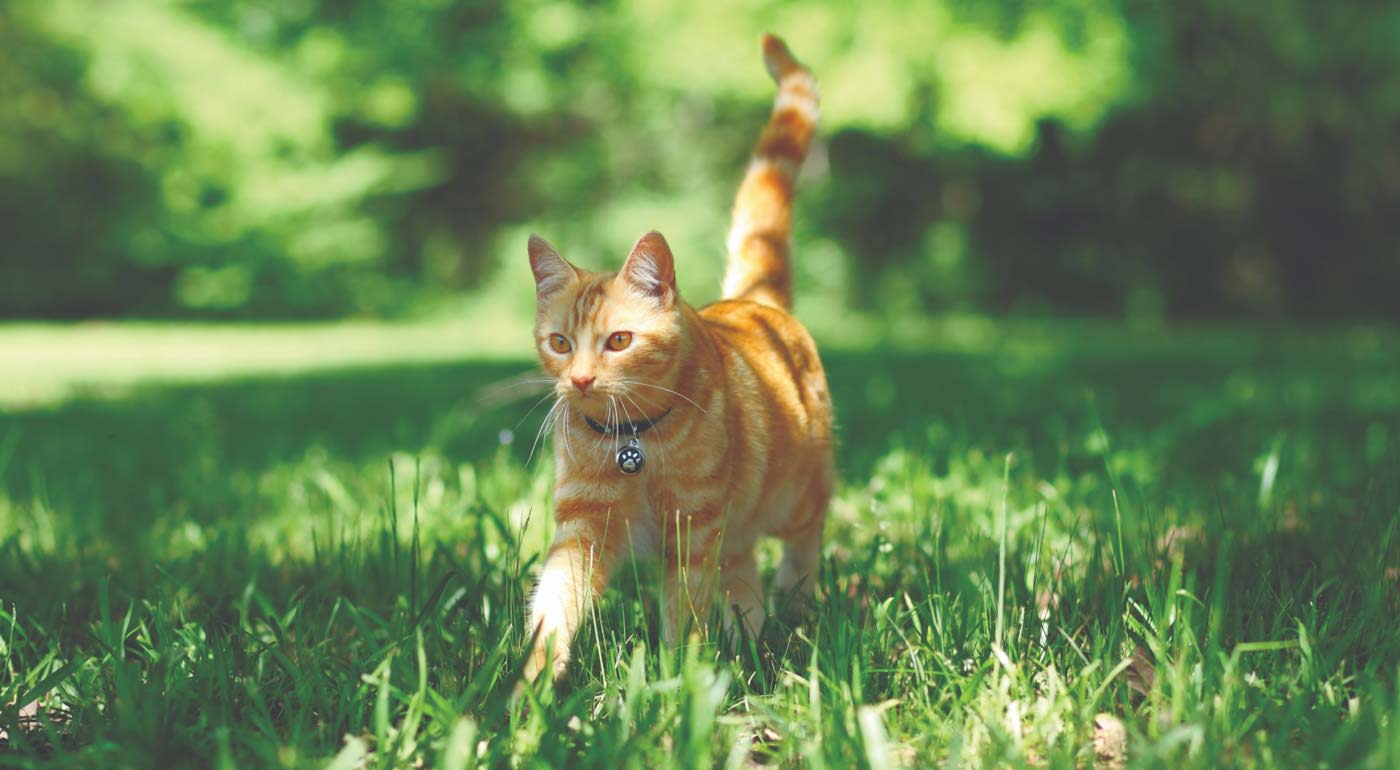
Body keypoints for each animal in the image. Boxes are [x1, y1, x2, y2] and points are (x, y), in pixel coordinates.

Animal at [526, 33, 828, 686]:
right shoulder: (583, 528)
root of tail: (753, 299)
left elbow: (682, 618)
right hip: (738, 531)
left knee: (803, 545)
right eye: (560, 344)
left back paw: (796, 605)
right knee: (744, 584)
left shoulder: (693, 531)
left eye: (618, 341)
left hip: (794, 495)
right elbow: (554, 603)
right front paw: (529, 684)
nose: (579, 380)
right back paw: (751, 643)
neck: (631, 443)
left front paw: (674, 686)